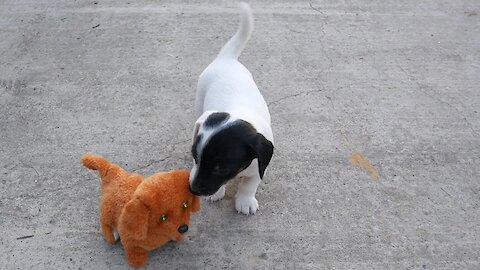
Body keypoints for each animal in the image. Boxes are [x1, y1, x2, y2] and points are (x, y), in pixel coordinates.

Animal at [190, 2, 276, 215]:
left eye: (220, 168)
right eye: (195, 156)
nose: (193, 190)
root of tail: (226, 59)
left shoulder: (260, 166)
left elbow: (249, 185)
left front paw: (245, 201)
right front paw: (217, 194)